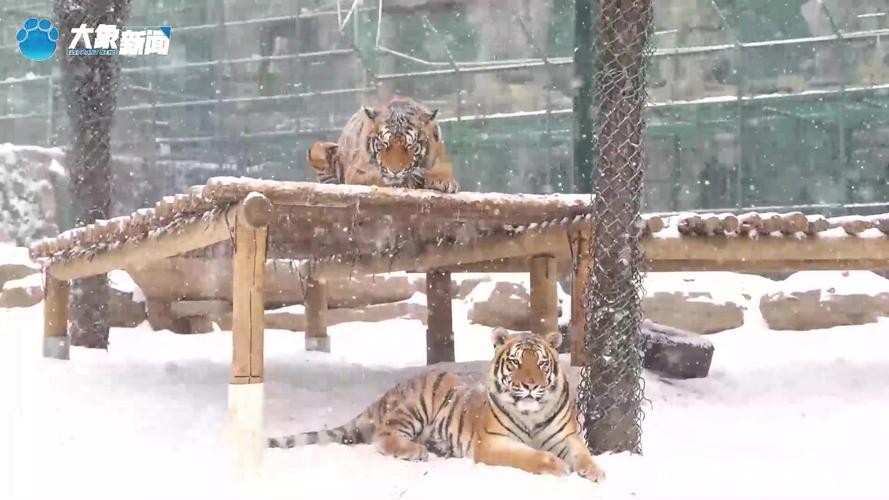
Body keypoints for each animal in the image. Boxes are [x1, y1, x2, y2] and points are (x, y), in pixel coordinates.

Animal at [267, 327, 606, 482]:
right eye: (516, 362)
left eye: (542, 363)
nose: (531, 386)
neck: (531, 415)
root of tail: (386, 394)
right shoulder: (492, 443)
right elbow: (530, 456)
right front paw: (556, 466)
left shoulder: (567, 437)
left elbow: (583, 454)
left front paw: (595, 471)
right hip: (415, 407)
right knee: (383, 437)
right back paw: (416, 451)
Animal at [306, 95, 459, 193]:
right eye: (384, 144)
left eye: (410, 146)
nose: (395, 172)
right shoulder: (357, 172)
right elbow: (378, 177)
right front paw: (410, 180)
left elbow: (443, 168)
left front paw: (443, 180)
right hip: (318, 149)